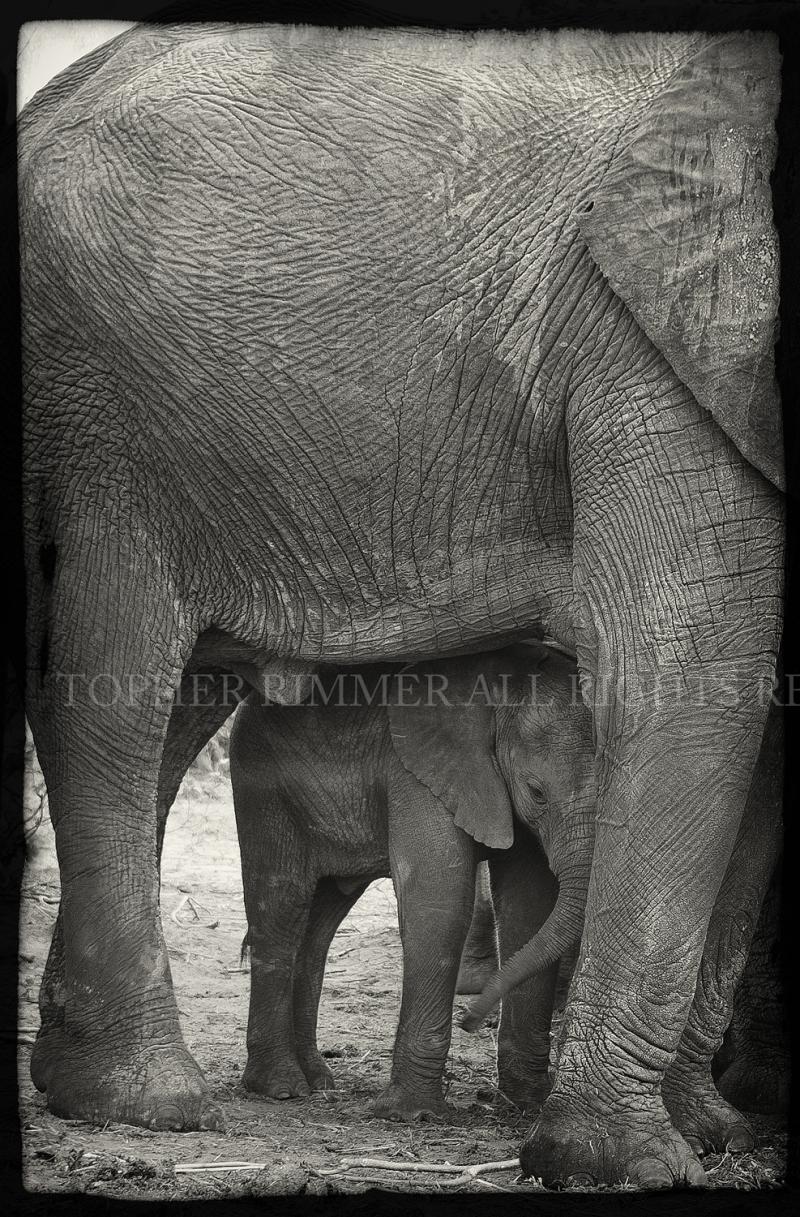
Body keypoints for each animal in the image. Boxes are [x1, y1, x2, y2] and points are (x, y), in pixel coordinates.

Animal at [230, 642, 596, 1118]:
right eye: (537, 792)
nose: (470, 1020)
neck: (500, 694)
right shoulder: (417, 774)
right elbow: (438, 901)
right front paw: (411, 1113)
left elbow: (530, 906)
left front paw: (528, 1101)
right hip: (263, 787)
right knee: (282, 907)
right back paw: (281, 1087)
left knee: (319, 925)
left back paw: (317, 1080)